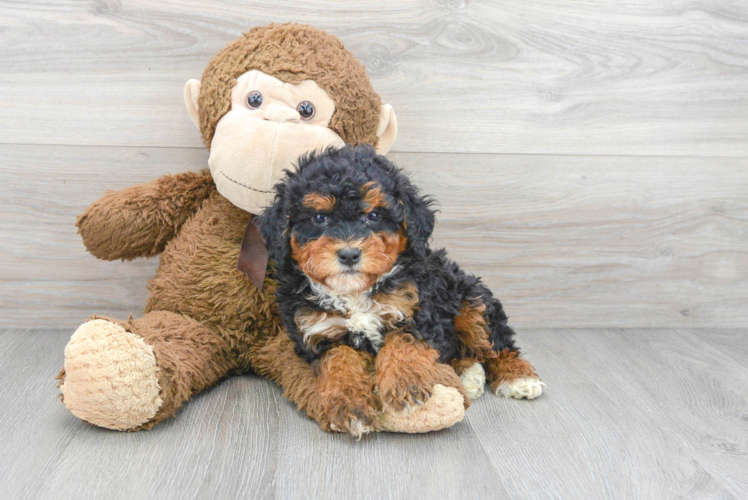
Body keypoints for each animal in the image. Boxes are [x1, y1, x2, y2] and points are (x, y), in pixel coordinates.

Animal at [258, 145, 544, 434]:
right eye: (319, 217)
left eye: (374, 215)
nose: (349, 254)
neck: (354, 292)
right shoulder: (319, 333)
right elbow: (338, 360)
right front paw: (348, 403)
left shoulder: (417, 310)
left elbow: (404, 342)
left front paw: (405, 384)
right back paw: (468, 372)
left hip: (471, 300)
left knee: (496, 344)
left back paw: (518, 377)